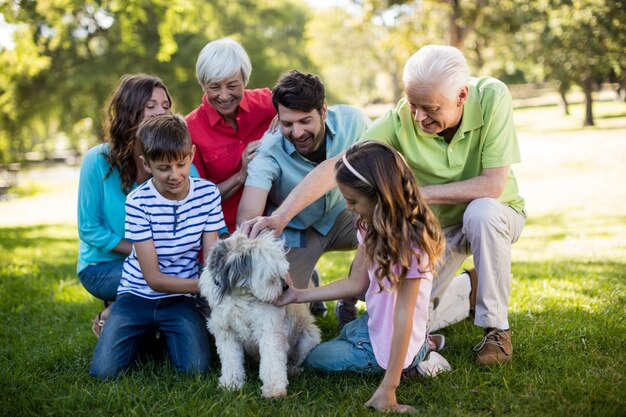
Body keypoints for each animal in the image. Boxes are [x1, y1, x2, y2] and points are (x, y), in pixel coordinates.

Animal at [197, 231, 320, 396]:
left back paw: (293, 370)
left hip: (308, 337)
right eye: (272, 277)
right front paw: (231, 384)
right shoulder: (226, 332)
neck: (240, 296)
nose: (285, 287)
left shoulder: (269, 330)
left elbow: (272, 362)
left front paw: (274, 389)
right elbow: (231, 361)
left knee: (296, 359)